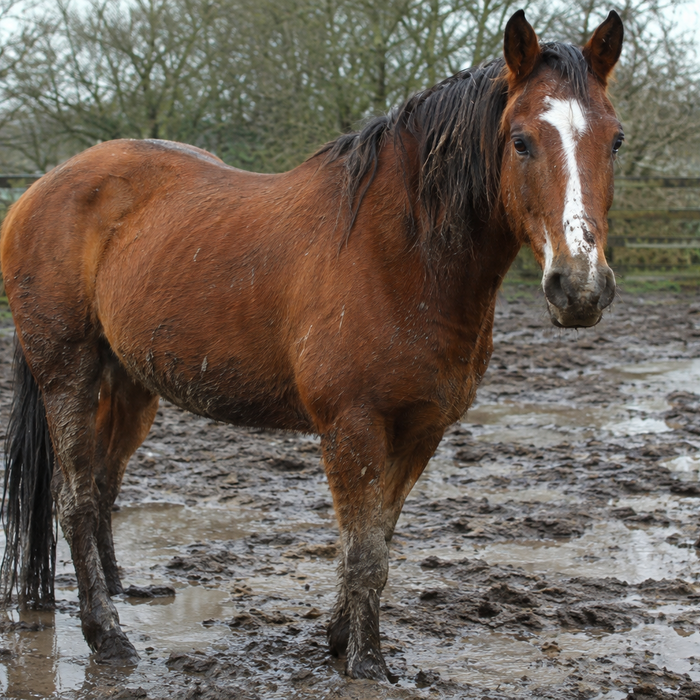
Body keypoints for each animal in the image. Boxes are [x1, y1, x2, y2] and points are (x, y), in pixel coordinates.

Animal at [0, 9, 623, 680]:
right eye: (521, 141)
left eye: (615, 140)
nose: (580, 287)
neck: (400, 256)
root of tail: (40, 189)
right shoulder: (352, 426)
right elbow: (364, 551)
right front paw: (367, 664)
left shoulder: (420, 429)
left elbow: (376, 539)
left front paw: (340, 636)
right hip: (66, 374)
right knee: (75, 502)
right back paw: (106, 635)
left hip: (129, 383)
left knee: (102, 484)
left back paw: (122, 591)